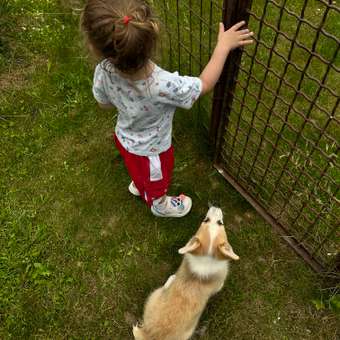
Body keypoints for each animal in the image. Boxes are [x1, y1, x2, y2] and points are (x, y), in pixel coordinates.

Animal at [133, 207, 239, 340]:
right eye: (206, 220)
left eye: (219, 223)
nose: (215, 207)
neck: (206, 258)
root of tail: (151, 335)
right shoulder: (218, 284)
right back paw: (171, 279)